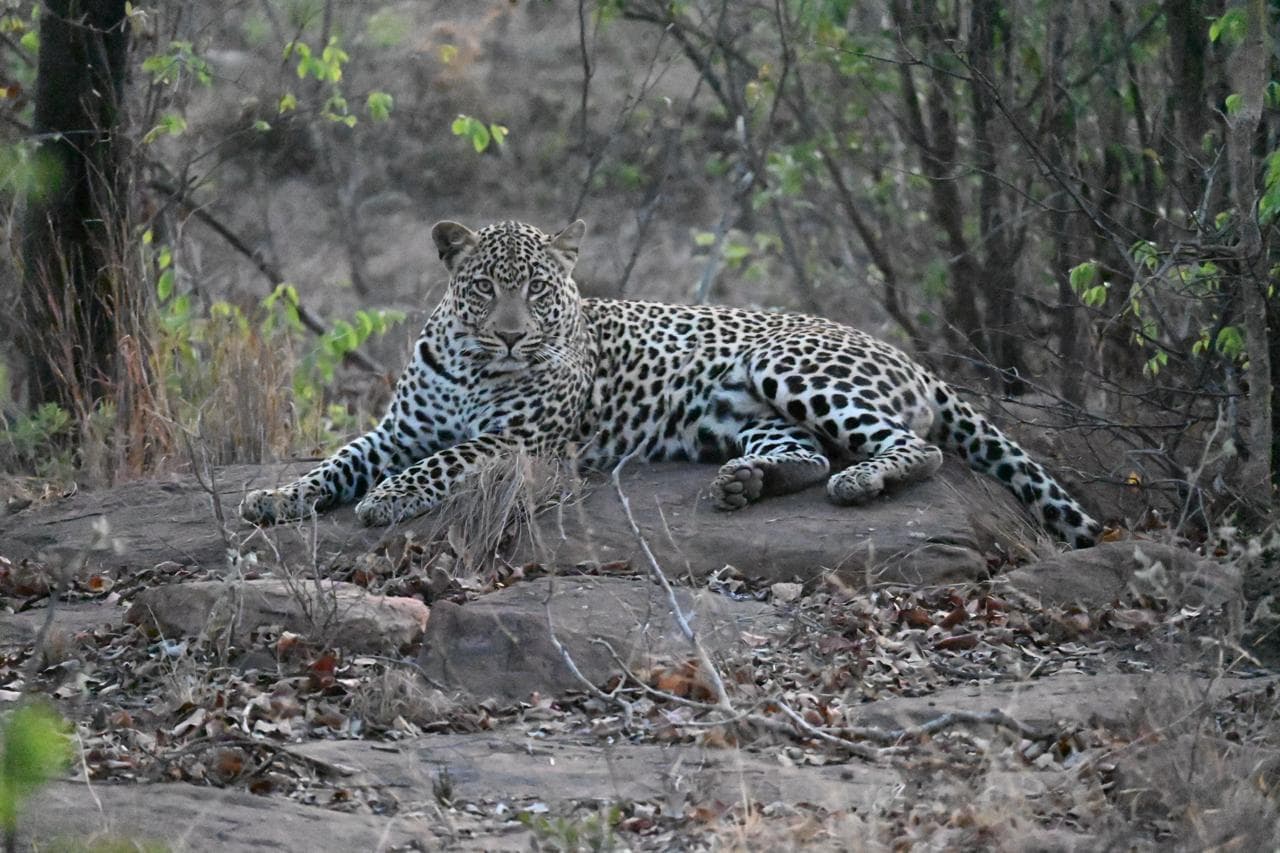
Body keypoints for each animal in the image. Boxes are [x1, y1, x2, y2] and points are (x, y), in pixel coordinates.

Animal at [240, 219, 1102, 549]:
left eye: (540, 290)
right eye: (485, 287)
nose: (514, 333)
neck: (474, 361)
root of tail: (913, 358)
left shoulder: (526, 443)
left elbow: (446, 459)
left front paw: (388, 497)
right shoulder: (397, 429)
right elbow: (339, 459)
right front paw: (277, 497)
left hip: (787, 365)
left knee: (912, 449)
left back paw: (860, 483)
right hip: (745, 409)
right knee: (805, 452)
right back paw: (744, 484)